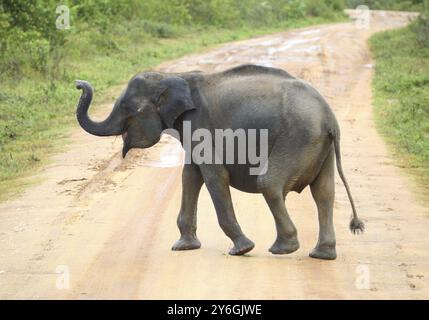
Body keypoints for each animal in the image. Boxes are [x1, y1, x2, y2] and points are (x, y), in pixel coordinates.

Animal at [75, 64, 362, 260]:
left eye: (127, 109)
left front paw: (242, 249)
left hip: (298, 137)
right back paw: (321, 255)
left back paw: (282, 249)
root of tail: (330, 120)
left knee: (269, 184)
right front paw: (184, 247)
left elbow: (213, 176)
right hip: (318, 145)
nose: (79, 83)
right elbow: (190, 176)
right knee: (324, 192)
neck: (172, 75)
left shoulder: (200, 125)